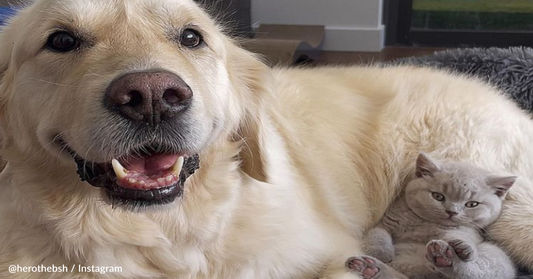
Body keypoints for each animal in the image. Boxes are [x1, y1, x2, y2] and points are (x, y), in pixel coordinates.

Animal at [344, 153, 516, 279]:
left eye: (472, 204)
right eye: (438, 196)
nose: (452, 211)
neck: (425, 224)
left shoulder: (469, 232)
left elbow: (460, 236)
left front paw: (462, 246)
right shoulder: (385, 223)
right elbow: (379, 234)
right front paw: (380, 253)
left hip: (494, 253)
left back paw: (444, 257)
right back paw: (370, 268)